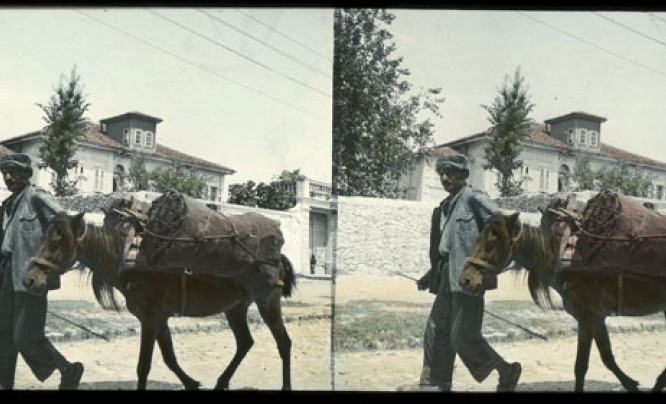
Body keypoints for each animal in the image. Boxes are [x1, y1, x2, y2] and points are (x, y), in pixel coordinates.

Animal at [22, 211, 294, 392]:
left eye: (57, 242)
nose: (29, 280)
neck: (132, 262)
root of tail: (279, 257)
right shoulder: (159, 320)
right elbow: (170, 358)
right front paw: (191, 383)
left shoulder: (151, 320)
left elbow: (144, 365)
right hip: (236, 308)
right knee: (245, 343)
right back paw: (221, 382)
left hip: (268, 303)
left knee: (284, 344)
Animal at [460, 208, 666, 392]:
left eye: (491, 241)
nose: (466, 280)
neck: (566, 260)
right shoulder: (597, 319)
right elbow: (607, 357)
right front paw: (631, 384)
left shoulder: (587, 319)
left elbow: (581, 367)